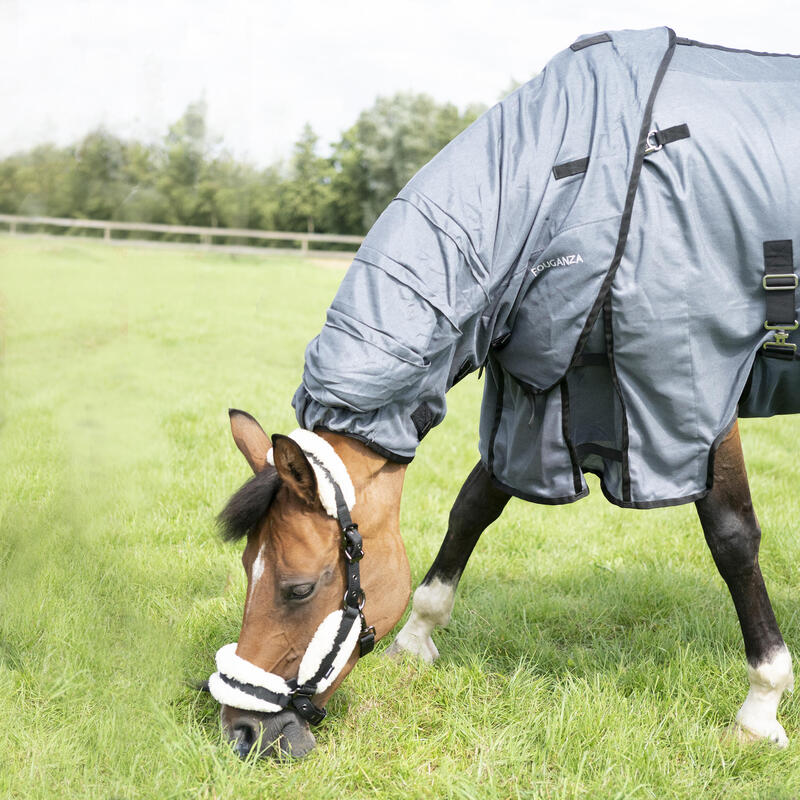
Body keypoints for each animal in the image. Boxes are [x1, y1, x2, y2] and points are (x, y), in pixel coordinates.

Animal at [208, 29, 800, 756]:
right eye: (247, 568)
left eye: (297, 588)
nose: (240, 731)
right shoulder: (536, 399)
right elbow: (474, 506)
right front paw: (418, 638)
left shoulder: (689, 396)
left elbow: (732, 537)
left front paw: (762, 705)